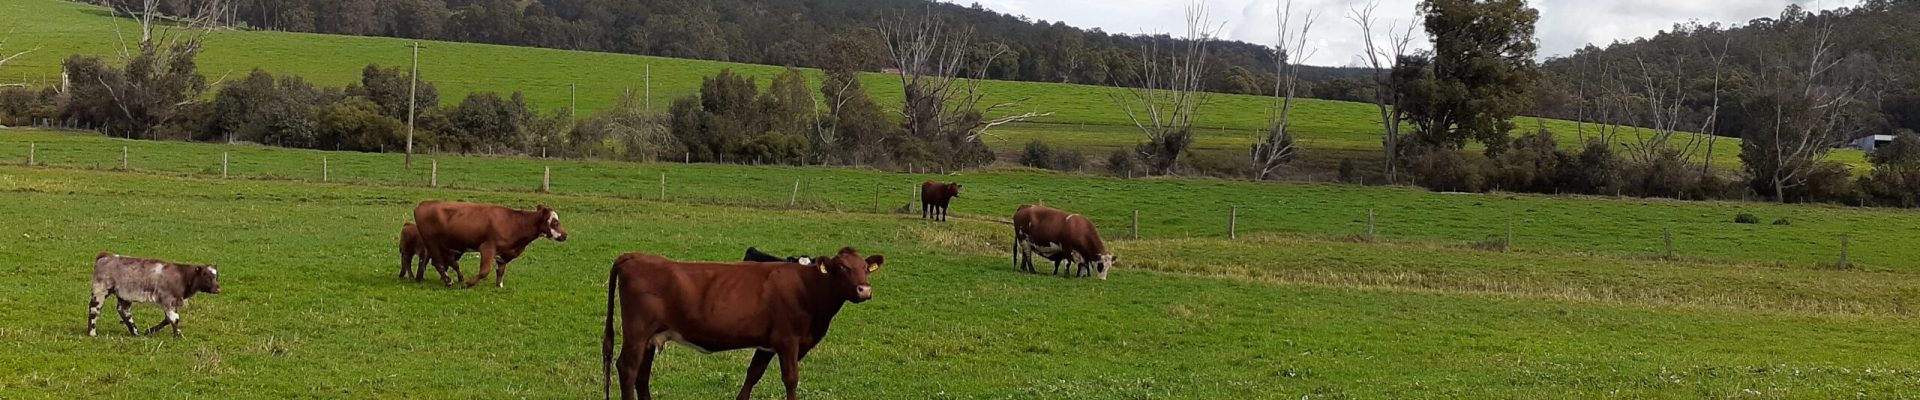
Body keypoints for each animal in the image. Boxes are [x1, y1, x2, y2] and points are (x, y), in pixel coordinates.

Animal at [88, 253, 222, 337]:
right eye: (206, 275)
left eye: (216, 276)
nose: (217, 289)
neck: (182, 276)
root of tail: (108, 255)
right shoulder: (168, 300)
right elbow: (174, 318)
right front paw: (178, 335)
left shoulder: (173, 302)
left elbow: (168, 319)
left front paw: (150, 331)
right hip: (100, 290)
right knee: (94, 308)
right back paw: (92, 332)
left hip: (124, 294)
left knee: (123, 311)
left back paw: (135, 332)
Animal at [411, 201, 569, 288]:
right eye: (555, 222)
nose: (565, 235)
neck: (514, 222)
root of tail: (424, 204)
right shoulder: (487, 248)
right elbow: (484, 271)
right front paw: (468, 284)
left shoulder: (504, 253)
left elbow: (501, 271)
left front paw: (499, 285)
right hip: (432, 241)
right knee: (438, 263)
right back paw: (448, 281)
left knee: (430, 261)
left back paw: (421, 278)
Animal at [602, 247, 886, 400]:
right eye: (842, 268)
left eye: (864, 267)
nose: (864, 290)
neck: (807, 287)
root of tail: (635, 256)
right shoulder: (788, 341)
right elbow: (791, 379)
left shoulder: (767, 344)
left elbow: (753, 375)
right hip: (637, 332)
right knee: (627, 368)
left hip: (651, 338)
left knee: (642, 375)